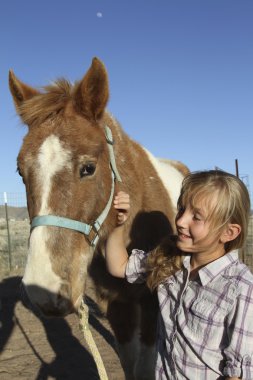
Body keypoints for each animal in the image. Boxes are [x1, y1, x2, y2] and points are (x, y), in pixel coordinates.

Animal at [8, 57, 188, 380]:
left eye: (89, 168)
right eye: (20, 171)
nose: (43, 289)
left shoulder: (151, 302)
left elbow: (147, 364)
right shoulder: (115, 303)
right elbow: (130, 363)